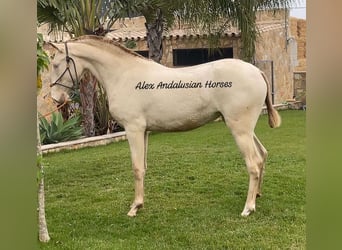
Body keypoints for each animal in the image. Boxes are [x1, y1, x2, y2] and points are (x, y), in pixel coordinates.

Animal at [49, 35, 282, 217]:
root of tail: (257, 72)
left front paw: (134, 208)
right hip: (245, 129)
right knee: (262, 155)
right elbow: (143, 167)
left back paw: (248, 208)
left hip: (240, 130)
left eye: (55, 64)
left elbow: (136, 168)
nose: (54, 98)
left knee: (253, 163)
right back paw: (257, 196)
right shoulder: (143, 132)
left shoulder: (133, 130)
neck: (123, 75)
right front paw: (140, 204)